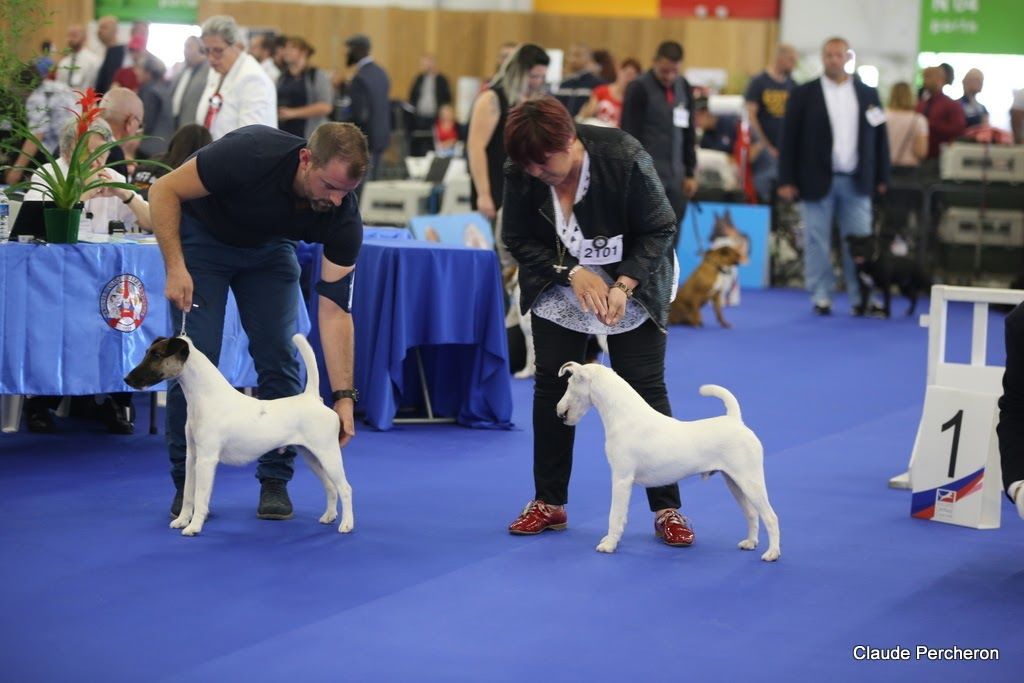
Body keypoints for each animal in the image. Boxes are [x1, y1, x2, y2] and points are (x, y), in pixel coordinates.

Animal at [124, 333, 352, 536]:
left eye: (157, 355)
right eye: (147, 353)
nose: (126, 379)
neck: (205, 397)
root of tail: (312, 398)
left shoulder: (206, 460)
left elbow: (200, 497)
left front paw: (194, 527)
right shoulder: (192, 458)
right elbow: (188, 493)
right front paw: (182, 520)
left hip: (328, 455)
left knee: (345, 488)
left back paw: (347, 525)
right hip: (311, 456)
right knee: (331, 487)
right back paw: (329, 516)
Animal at [557, 360, 778, 565]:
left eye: (568, 383)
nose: (558, 410)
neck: (623, 416)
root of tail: (735, 420)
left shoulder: (621, 480)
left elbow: (615, 515)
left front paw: (609, 544)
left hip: (750, 481)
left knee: (770, 517)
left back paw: (772, 554)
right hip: (734, 482)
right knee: (752, 514)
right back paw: (750, 543)